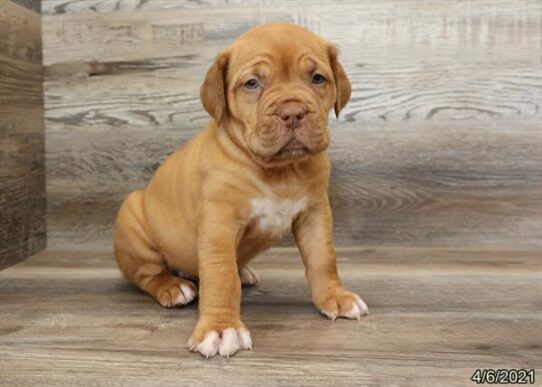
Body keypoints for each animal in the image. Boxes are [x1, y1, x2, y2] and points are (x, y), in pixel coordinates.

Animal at [114, 22, 370, 360]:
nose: (293, 111)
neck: (280, 171)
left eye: (317, 78)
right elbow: (221, 276)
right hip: (133, 220)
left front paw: (334, 297)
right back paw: (172, 287)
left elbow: (323, 257)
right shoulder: (219, 222)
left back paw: (244, 271)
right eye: (252, 83)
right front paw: (221, 328)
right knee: (146, 275)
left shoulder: (315, 213)